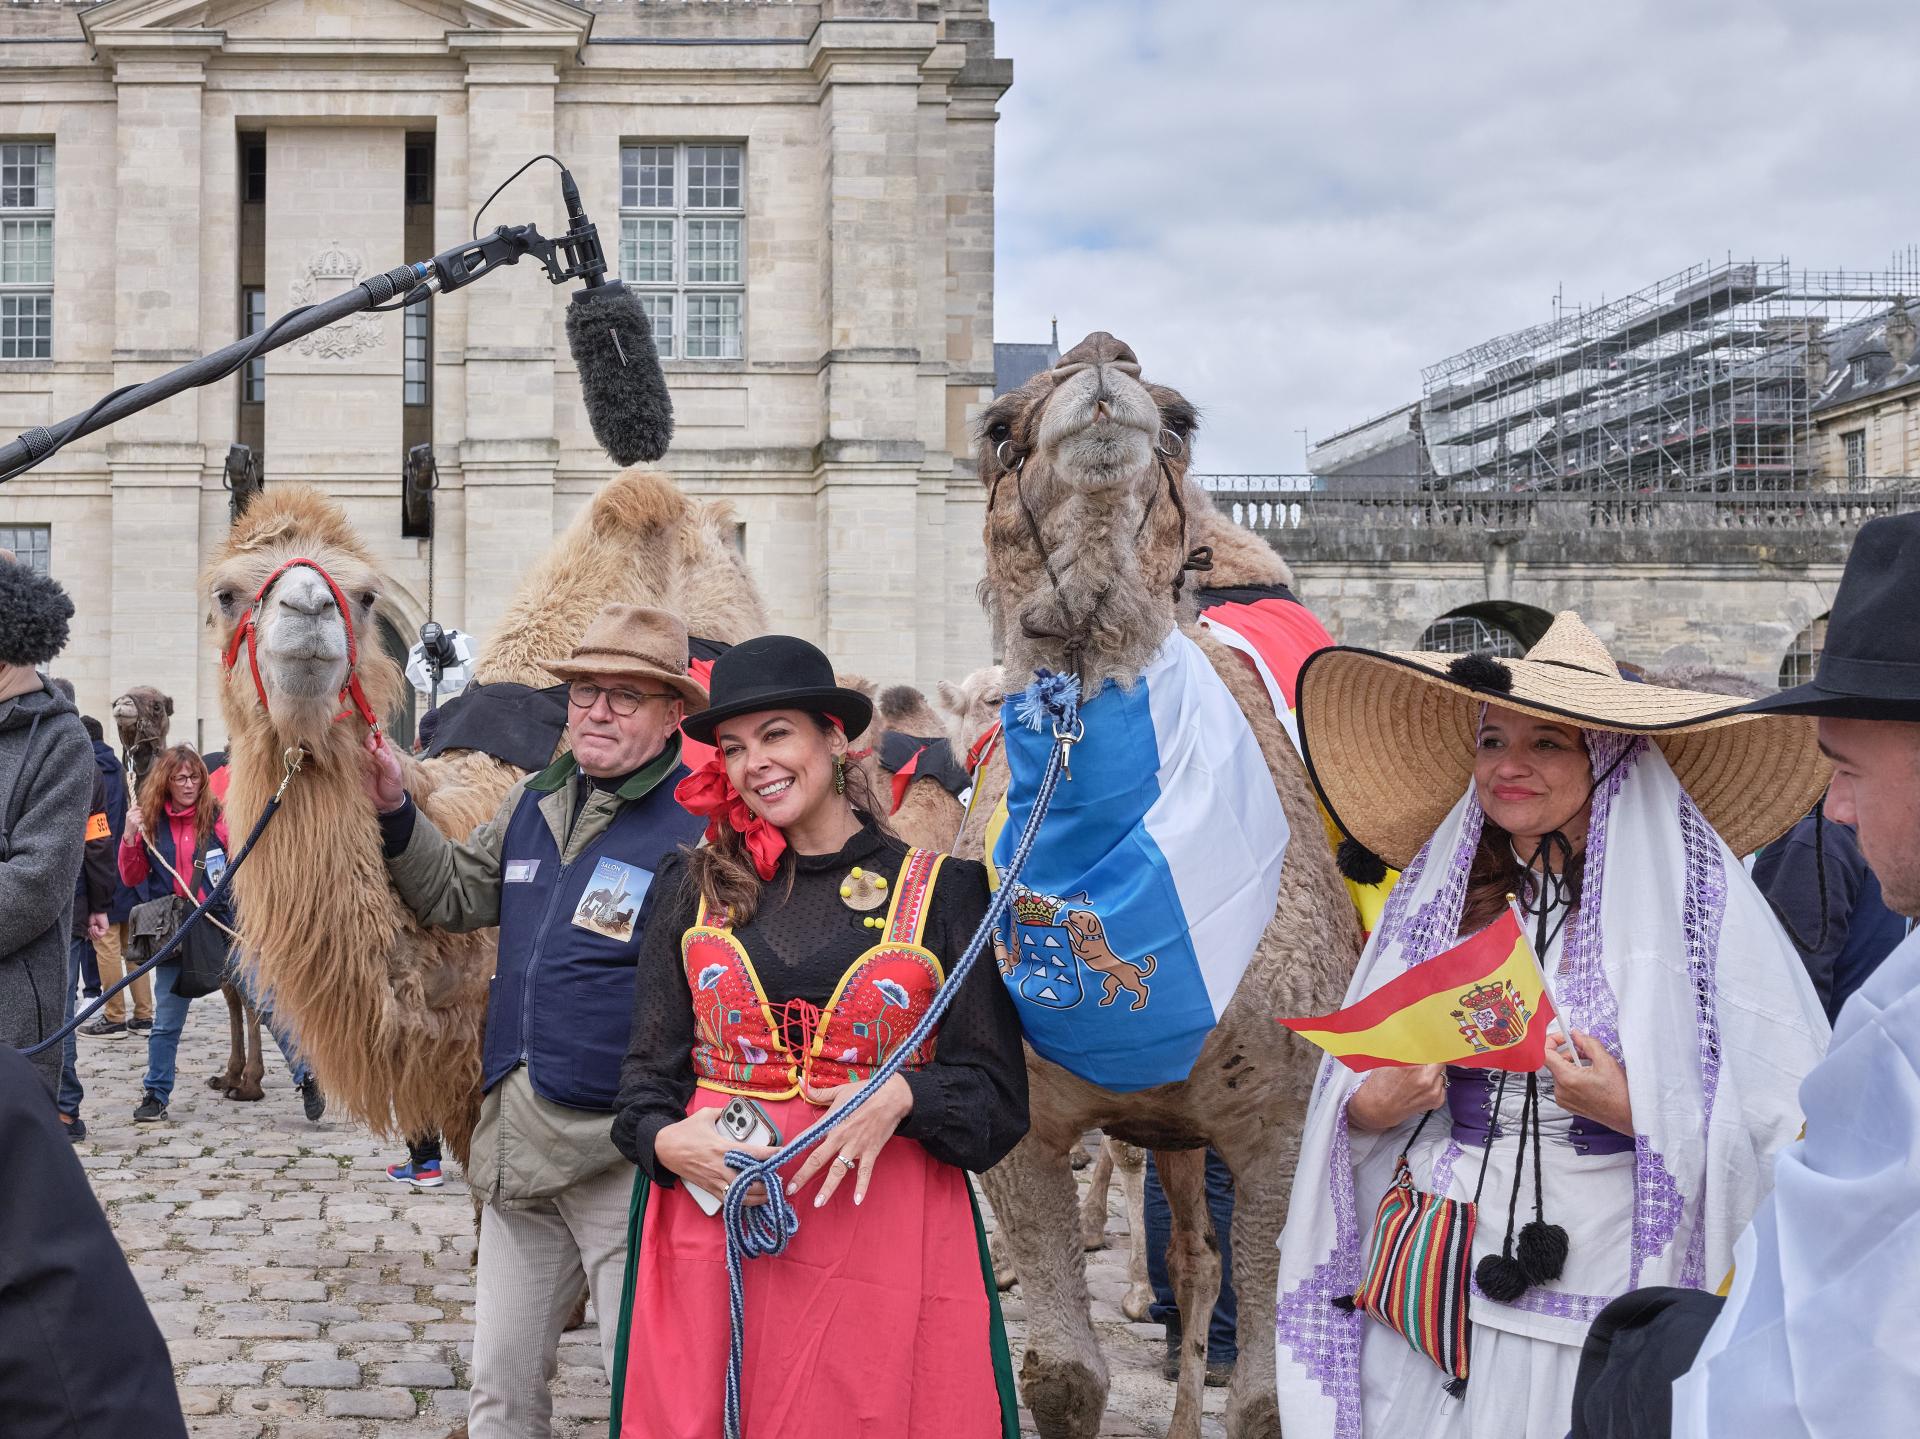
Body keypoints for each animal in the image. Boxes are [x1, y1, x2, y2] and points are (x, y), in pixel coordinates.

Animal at [960, 330, 1367, 1429]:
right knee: (1192, 1252)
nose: (1103, 362)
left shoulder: (1280, 1121)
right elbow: (1062, 1375)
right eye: (998, 425)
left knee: (1206, 1260)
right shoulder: (1020, 1123)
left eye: (1182, 419)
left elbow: (1270, 1396)